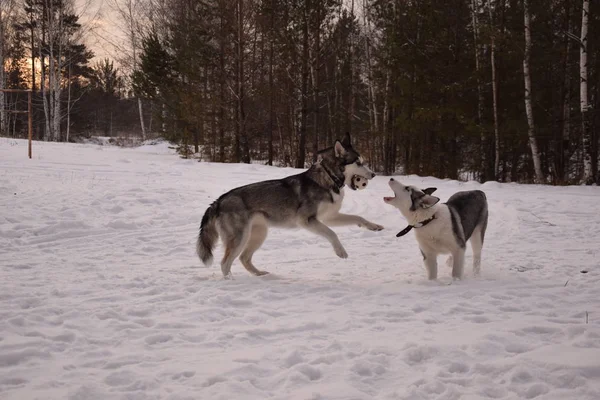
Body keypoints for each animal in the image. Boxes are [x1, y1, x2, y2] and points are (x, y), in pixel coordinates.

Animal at [197, 133, 384, 276]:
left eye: (363, 161)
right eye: (358, 162)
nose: (374, 174)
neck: (328, 178)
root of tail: (219, 201)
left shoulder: (329, 217)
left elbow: (357, 217)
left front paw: (373, 226)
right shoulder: (307, 220)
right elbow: (332, 233)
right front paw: (340, 251)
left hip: (259, 234)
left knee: (244, 258)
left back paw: (259, 274)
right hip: (240, 237)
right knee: (225, 263)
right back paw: (230, 280)